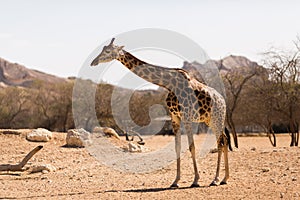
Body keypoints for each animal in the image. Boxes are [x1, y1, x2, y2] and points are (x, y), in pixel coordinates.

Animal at [91, 38, 230, 188]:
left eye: (107, 51)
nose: (93, 62)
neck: (169, 83)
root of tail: (223, 102)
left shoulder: (186, 116)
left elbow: (192, 146)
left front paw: (196, 180)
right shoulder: (175, 117)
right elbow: (177, 147)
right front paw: (175, 181)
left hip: (217, 118)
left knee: (220, 142)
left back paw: (216, 179)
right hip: (210, 120)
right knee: (224, 140)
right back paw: (225, 178)